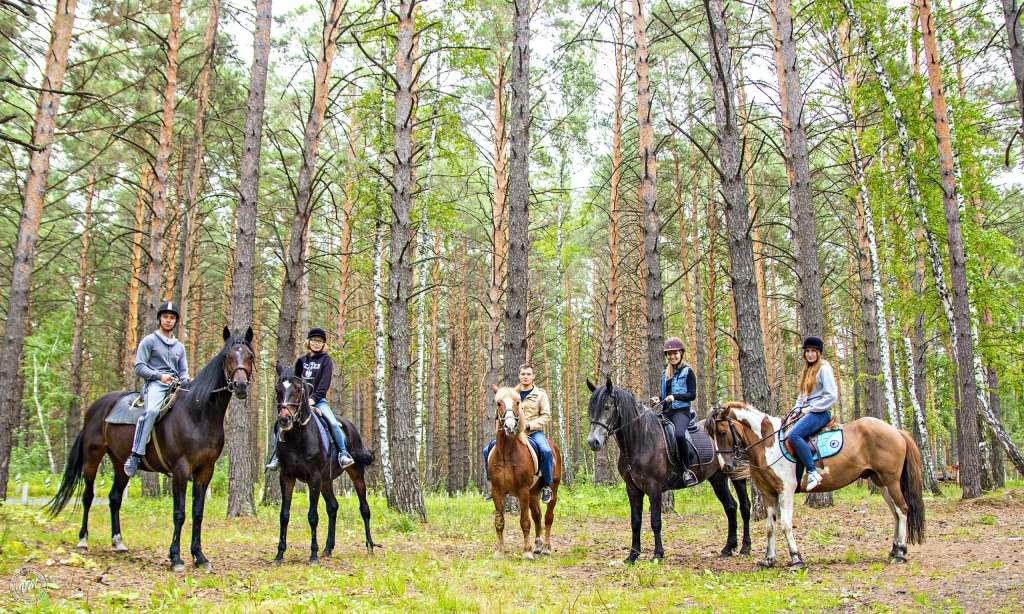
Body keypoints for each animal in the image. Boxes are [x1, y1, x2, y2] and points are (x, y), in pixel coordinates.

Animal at [274, 364, 378, 564]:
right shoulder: (286, 477)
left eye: (298, 390)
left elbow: (313, 516)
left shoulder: (313, 478)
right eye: (278, 390)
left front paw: (313, 555)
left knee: (365, 508)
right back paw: (328, 548)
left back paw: (370, 546)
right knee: (333, 507)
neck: (298, 438)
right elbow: (284, 515)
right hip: (326, 480)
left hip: (355, 473)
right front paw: (280, 554)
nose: (284, 419)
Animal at [489, 386, 565, 560]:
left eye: (517, 402)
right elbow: (499, 521)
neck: (506, 454)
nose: (510, 427)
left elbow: (524, 521)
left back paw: (546, 548)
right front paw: (499, 551)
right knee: (537, 516)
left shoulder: (522, 491)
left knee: (548, 517)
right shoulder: (497, 491)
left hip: (552, 490)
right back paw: (537, 546)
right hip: (533, 493)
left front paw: (527, 552)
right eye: (498, 403)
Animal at [585, 378, 753, 564]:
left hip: (737, 475)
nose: (593, 442)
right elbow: (635, 522)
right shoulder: (632, 488)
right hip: (718, 478)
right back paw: (728, 547)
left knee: (745, 507)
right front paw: (632, 555)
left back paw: (745, 547)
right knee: (731, 507)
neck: (641, 440)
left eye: (607, 406)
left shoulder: (654, 488)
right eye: (590, 409)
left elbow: (655, 521)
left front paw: (658, 554)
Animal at [708, 401, 925, 568]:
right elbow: (770, 526)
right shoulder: (767, 493)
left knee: (902, 510)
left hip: (891, 481)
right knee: (895, 513)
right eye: (711, 435)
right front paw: (768, 560)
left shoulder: (785, 490)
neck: (767, 444)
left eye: (723, 432)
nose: (726, 467)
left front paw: (796, 559)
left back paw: (900, 554)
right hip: (881, 483)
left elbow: (786, 524)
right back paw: (894, 550)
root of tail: (896, 431)